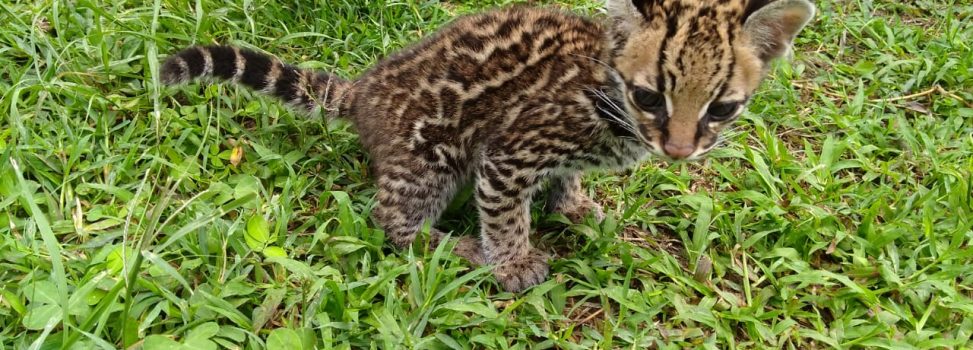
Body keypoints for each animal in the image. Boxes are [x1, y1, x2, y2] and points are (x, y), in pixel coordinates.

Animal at [163, 0, 816, 292]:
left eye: (723, 108)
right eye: (649, 96)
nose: (679, 152)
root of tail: (365, 90)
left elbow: (566, 179)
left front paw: (573, 205)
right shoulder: (511, 152)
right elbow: (505, 214)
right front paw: (512, 260)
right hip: (430, 154)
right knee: (390, 219)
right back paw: (453, 248)